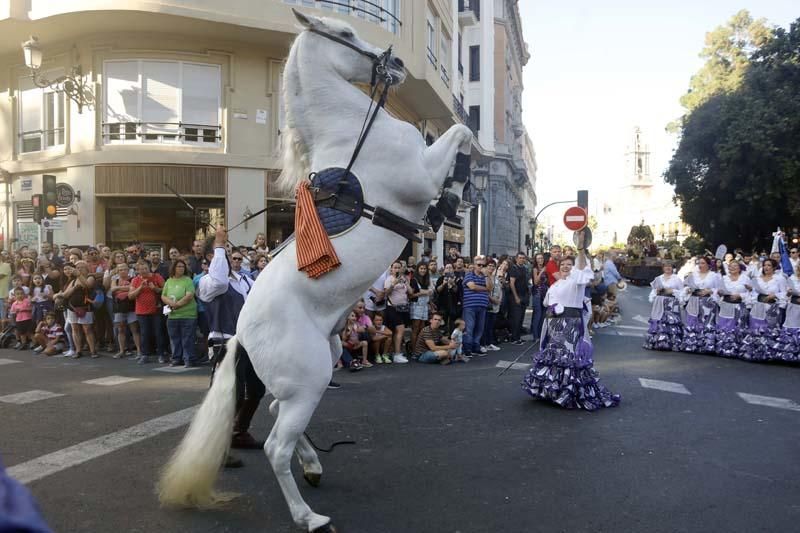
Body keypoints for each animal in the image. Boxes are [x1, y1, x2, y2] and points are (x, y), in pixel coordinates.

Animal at [157, 9, 472, 532]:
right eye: (344, 33)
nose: (396, 64)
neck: (352, 137)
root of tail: (241, 333)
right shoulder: (420, 173)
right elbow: (461, 138)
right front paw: (454, 193)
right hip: (309, 376)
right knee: (275, 445)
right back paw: (309, 514)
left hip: (319, 365)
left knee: (277, 412)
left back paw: (313, 465)